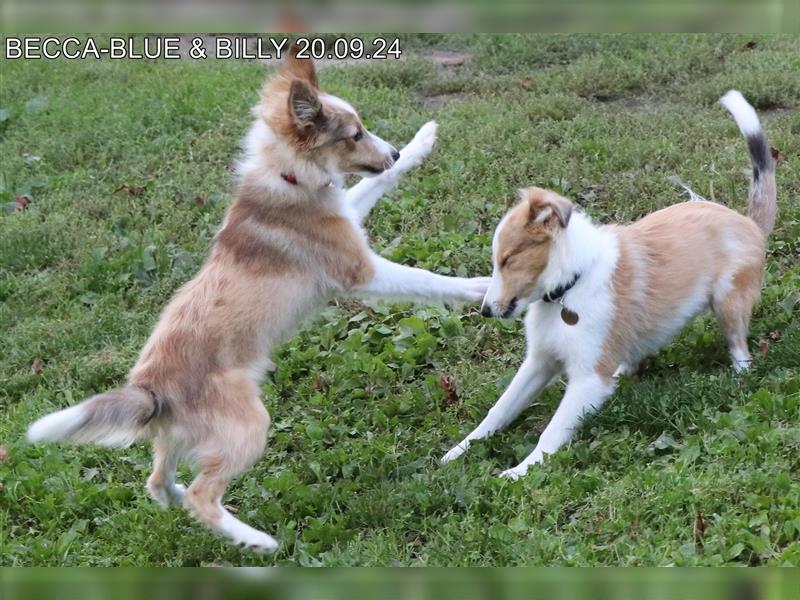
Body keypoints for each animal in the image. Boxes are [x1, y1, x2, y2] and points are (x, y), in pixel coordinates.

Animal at [26, 47, 488, 552]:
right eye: (354, 135)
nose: (393, 152)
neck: (288, 176)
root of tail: (150, 389)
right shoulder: (359, 269)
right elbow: (427, 279)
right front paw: (483, 286)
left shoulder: (349, 216)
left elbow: (376, 186)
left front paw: (422, 142)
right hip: (249, 426)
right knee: (202, 495)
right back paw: (258, 541)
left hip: (178, 437)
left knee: (158, 481)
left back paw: (180, 500)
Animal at [440, 91, 780, 480]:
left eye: (508, 259)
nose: (485, 311)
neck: (568, 290)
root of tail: (749, 223)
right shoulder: (539, 361)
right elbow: (498, 410)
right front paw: (459, 450)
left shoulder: (588, 378)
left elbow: (551, 431)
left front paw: (521, 471)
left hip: (729, 301)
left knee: (740, 349)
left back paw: (739, 377)